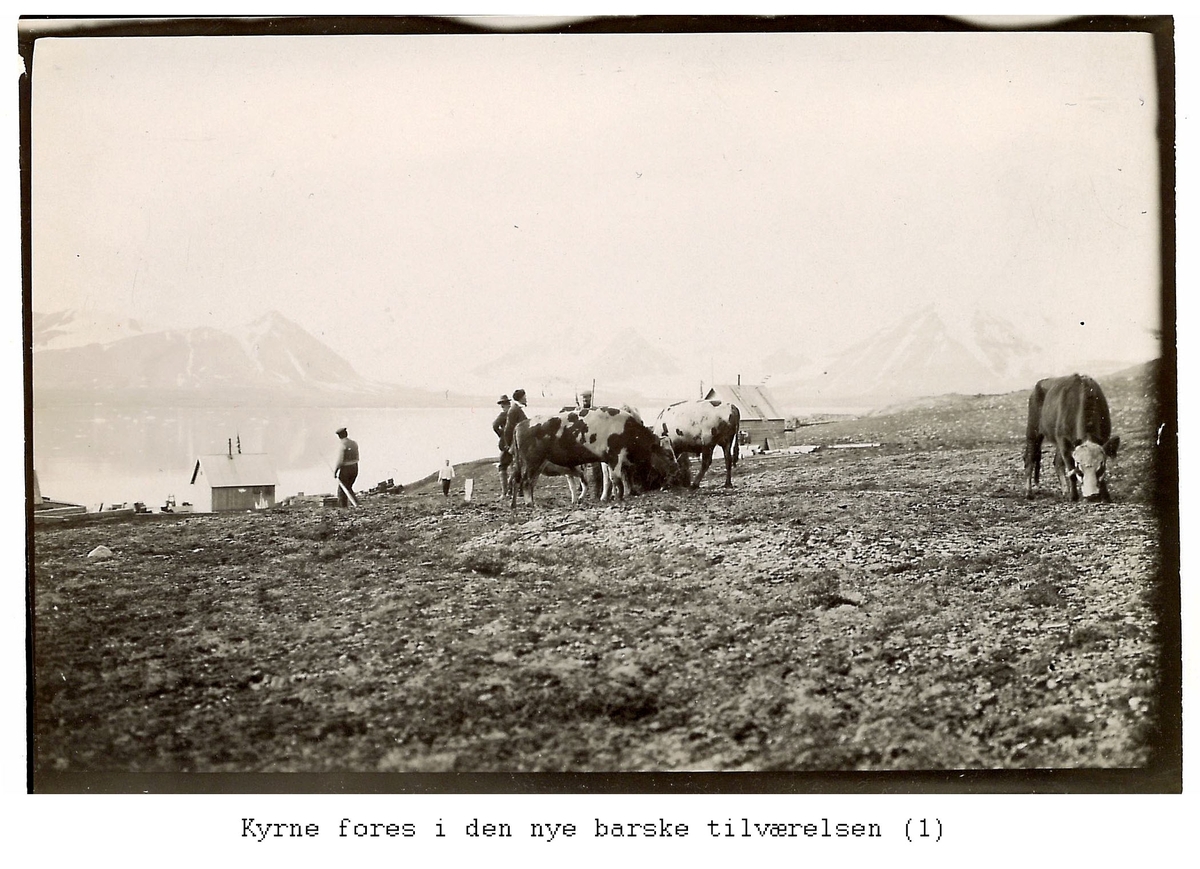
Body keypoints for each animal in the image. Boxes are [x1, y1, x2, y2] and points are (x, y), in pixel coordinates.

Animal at [508, 408, 686, 508]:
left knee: (527, 482)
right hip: (532, 462)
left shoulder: (606, 460)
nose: (677, 468)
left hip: (537, 464)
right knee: (525, 482)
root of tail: (521, 424)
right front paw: (619, 497)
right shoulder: (615, 456)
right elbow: (617, 480)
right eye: (668, 454)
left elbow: (608, 480)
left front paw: (606, 497)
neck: (627, 430)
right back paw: (530, 503)